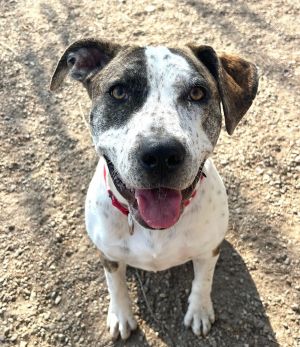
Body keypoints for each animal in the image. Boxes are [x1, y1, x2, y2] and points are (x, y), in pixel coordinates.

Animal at [49, 39, 258, 342]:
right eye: (119, 92)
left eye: (197, 93)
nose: (160, 153)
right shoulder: (108, 255)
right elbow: (115, 285)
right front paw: (121, 315)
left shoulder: (208, 251)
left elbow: (203, 280)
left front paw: (199, 310)